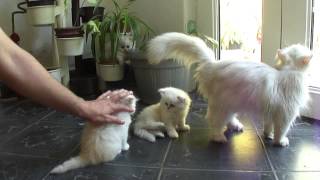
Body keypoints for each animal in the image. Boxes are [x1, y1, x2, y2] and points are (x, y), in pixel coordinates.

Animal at [148, 32, 312, 148]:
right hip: (223, 106)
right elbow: (281, 130)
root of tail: (212, 65)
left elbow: (269, 126)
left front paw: (268, 135)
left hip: (231, 104)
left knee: (227, 120)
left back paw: (236, 126)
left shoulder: (272, 111)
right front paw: (280, 141)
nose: (312, 53)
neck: (288, 71)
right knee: (215, 123)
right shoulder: (286, 113)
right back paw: (219, 138)